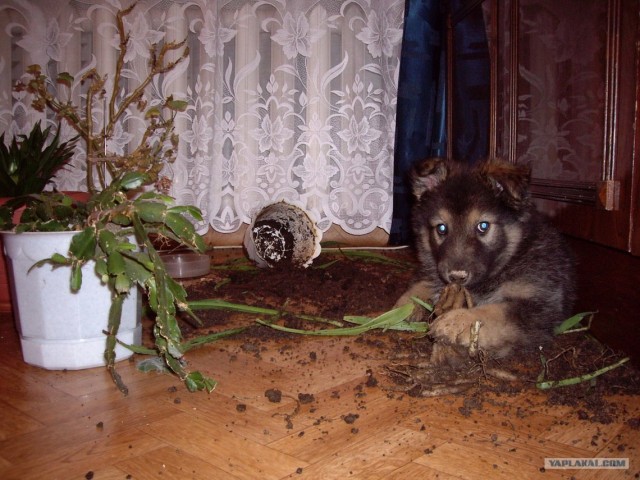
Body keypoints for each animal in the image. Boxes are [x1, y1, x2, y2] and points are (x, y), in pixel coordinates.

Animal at [398, 159, 576, 366]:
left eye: (483, 226)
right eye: (441, 228)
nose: (456, 276)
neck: (510, 257)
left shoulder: (539, 305)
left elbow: (495, 312)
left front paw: (457, 321)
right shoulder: (433, 270)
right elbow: (420, 285)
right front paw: (400, 308)